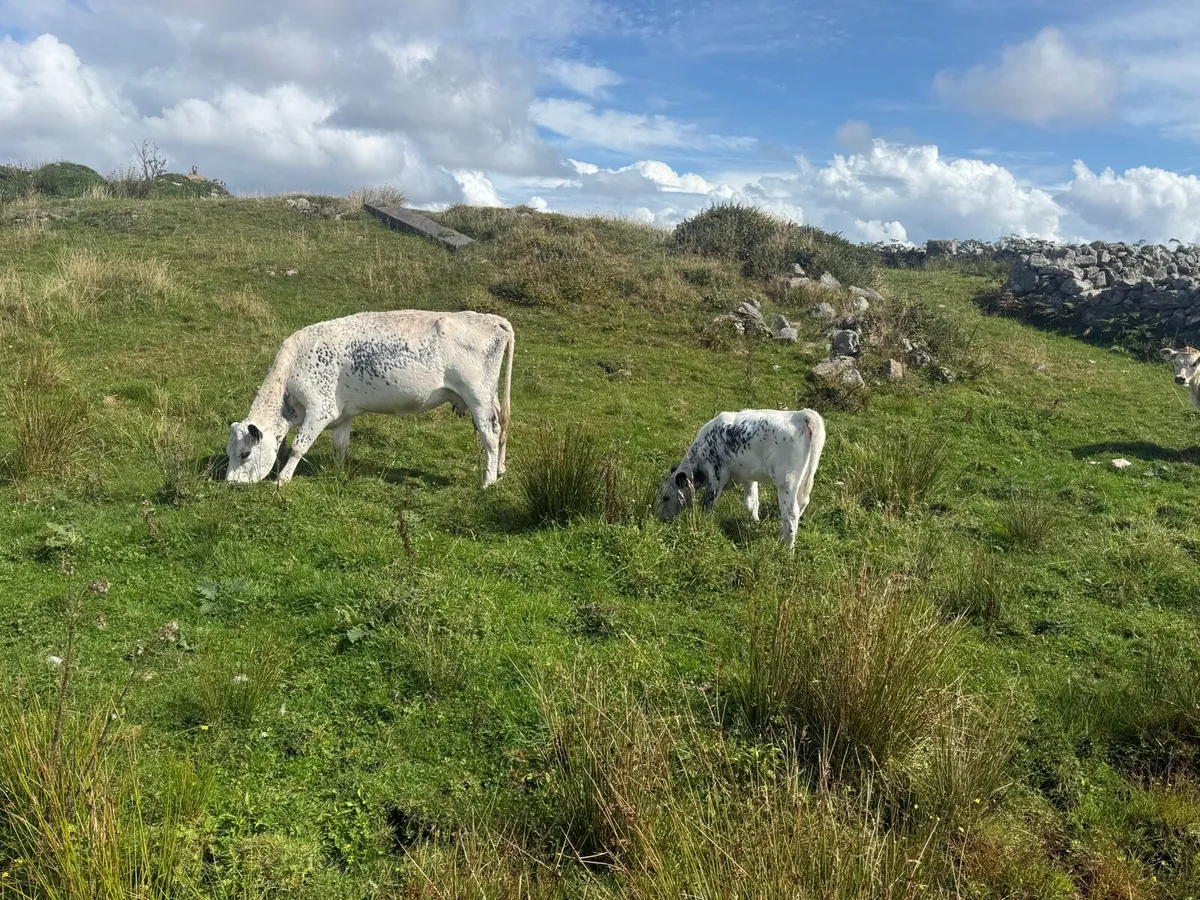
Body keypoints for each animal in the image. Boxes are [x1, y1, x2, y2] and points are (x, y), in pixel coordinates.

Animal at [226, 310, 514, 488]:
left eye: (244, 453)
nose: (230, 482)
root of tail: (492, 319)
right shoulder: (343, 415)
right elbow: (340, 446)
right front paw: (339, 471)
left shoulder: (320, 410)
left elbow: (298, 447)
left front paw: (281, 480)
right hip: (490, 396)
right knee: (502, 428)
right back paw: (500, 471)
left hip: (478, 396)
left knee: (490, 434)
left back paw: (488, 481)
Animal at [656, 408, 826, 550]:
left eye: (666, 497)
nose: (660, 518)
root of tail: (801, 414)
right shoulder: (748, 477)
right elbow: (751, 503)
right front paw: (755, 522)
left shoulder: (717, 474)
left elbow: (707, 503)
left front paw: (703, 522)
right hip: (803, 479)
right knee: (801, 505)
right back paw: (780, 538)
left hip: (786, 481)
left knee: (791, 514)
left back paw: (787, 550)